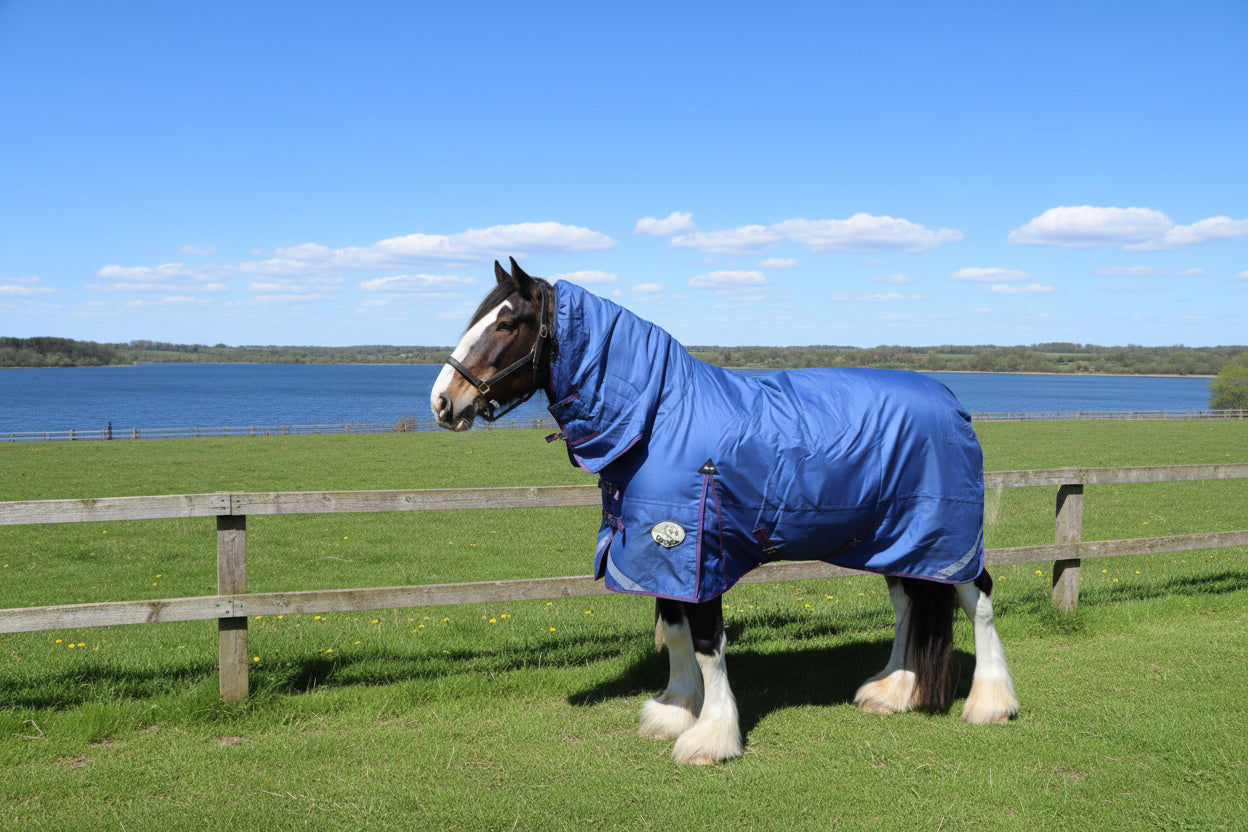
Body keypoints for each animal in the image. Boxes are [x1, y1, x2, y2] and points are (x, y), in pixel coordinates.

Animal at [431, 258, 1018, 764]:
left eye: (508, 323)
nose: (442, 401)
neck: (660, 417)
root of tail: (952, 402)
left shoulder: (695, 552)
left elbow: (708, 644)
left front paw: (711, 737)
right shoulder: (655, 555)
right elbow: (674, 632)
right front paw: (674, 711)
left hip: (947, 536)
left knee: (978, 599)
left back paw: (990, 702)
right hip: (896, 541)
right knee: (909, 605)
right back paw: (893, 691)